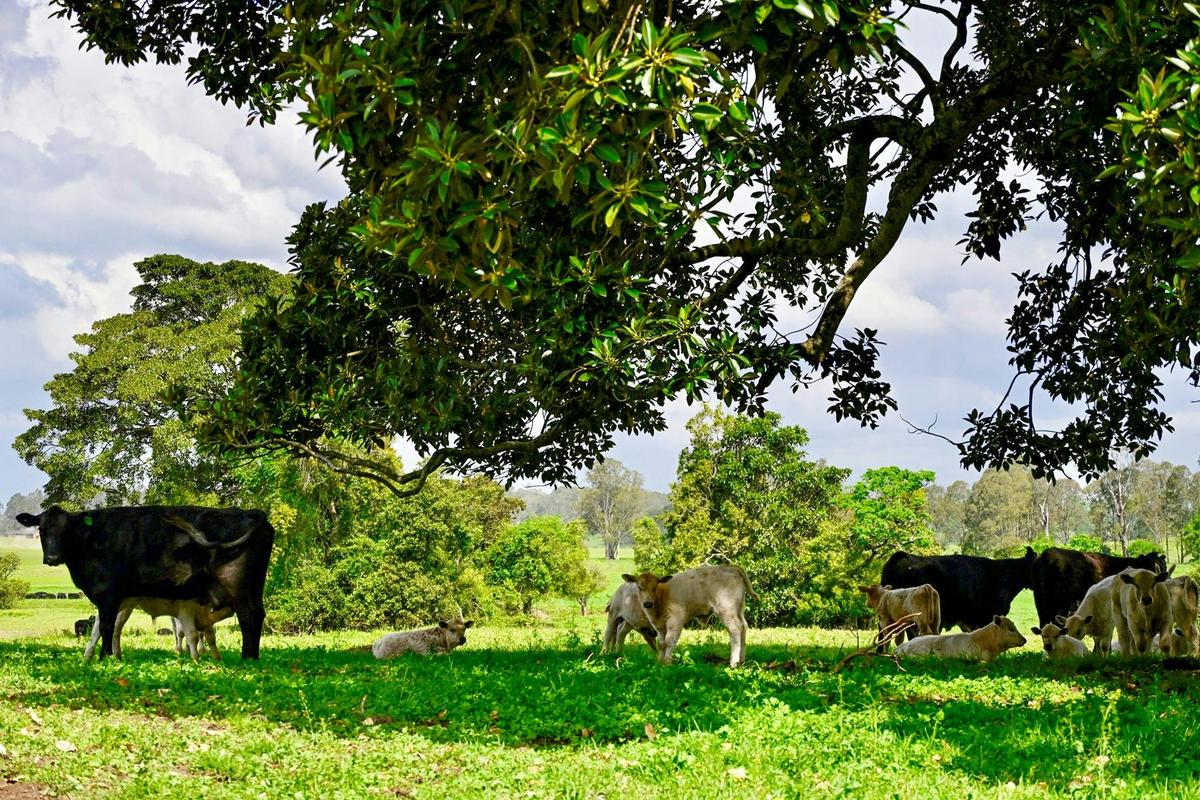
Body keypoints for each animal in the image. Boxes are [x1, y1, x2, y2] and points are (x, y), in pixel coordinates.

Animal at [15, 505, 274, 660]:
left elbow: (107, 627)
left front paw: (105, 658)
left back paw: (248, 658)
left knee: (250, 617)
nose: (52, 557)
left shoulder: (108, 595)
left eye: (66, 530)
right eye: (41, 529)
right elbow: (104, 628)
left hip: (240, 587)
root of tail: (249, 512)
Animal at [621, 565, 757, 667]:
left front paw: (667, 662)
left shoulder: (675, 620)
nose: (647, 603)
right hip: (738, 610)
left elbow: (669, 641)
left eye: (654, 587)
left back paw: (733, 662)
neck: (661, 597)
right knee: (744, 627)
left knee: (735, 630)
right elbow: (661, 644)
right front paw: (659, 662)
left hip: (727, 611)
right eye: (639, 587)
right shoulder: (660, 627)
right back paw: (741, 660)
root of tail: (729, 567)